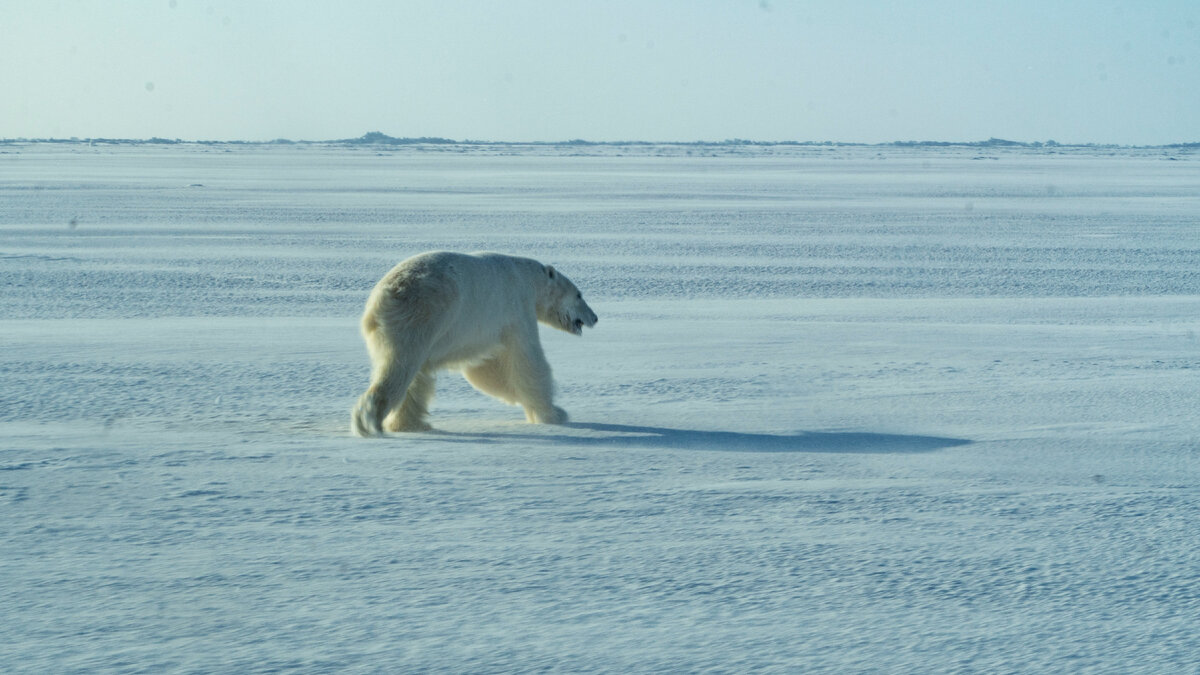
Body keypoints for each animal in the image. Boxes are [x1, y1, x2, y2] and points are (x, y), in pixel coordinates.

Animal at [352, 248, 600, 437]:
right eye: (579, 295)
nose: (595, 317)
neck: (528, 279)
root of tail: (379, 301)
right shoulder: (516, 308)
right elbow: (527, 361)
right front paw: (555, 413)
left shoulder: (484, 329)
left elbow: (486, 370)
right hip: (419, 317)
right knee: (400, 367)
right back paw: (369, 422)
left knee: (416, 376)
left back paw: (411, 424)